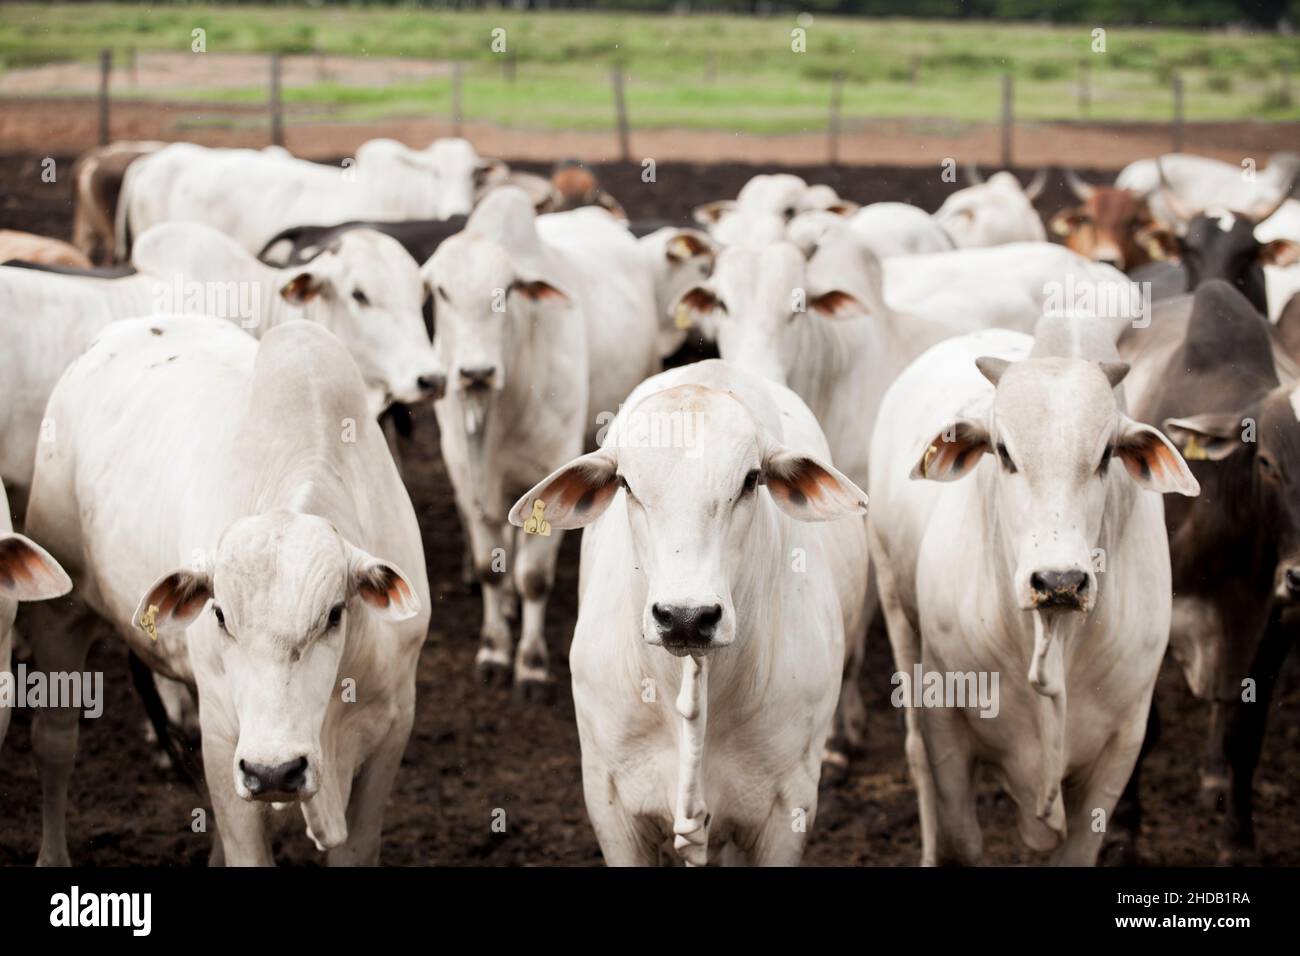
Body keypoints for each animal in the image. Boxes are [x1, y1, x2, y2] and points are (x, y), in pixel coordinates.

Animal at [23, 317, 430, 866]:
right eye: (219, 615)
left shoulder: (393, 725)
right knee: (55, 743)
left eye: (334, 614)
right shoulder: (223, 736)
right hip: (58, 614)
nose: (275, 771)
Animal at [424, 188, 659, 695]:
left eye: (509, 290)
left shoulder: (555, 468)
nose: (476, 372)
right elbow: (487, 568)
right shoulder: (465, 476)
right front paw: (493, 651)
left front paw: (530, 664)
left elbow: (534, 577)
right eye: (441, 291)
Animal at [868, 314, 1198, 865]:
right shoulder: (946, 727)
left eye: (1106, 455)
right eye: (1003, 452)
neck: (1051, 637)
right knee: (915, 756)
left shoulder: (1122, 744)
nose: (1059, 581)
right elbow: (964, 840)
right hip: (894, 604)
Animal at [1116, 280, 1300, 863]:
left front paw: (1237, 839)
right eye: (1267, 463)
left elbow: (1245, 730)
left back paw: (1214, 780)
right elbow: (1145, 727)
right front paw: (1123, 829)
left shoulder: (1274, 622)